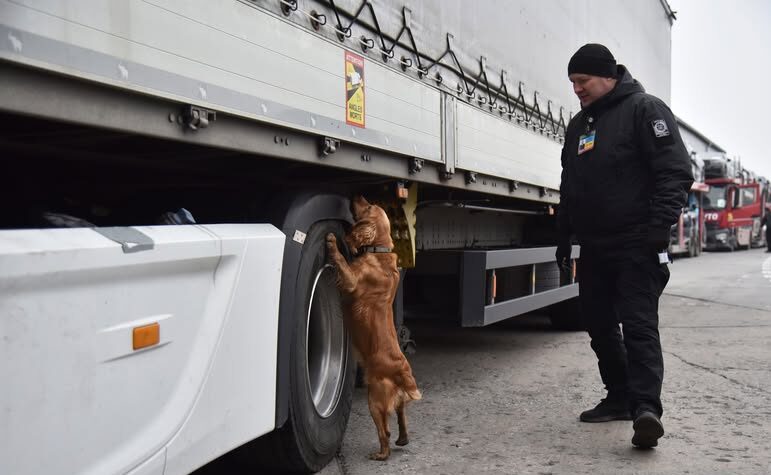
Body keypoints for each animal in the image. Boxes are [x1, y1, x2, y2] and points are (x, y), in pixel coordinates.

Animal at [326, 195, 422, 460]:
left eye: (368, 207)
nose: (357, 195)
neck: (380, 251)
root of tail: (403, 372)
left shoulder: (350, 281)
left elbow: (341, 260)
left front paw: (332, 242)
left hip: (374, 399)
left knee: (384, 431)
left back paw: (381, 454)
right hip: (394, 401)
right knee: (401, 417)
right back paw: (403, 439)